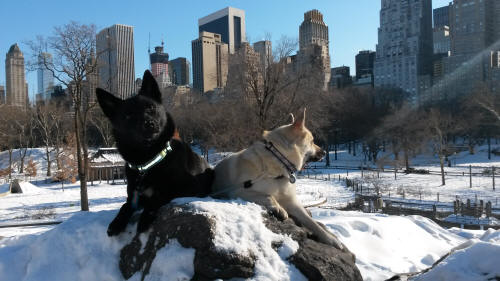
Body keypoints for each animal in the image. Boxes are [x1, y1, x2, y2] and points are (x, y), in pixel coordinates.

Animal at [96, 69, 214, 235]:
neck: (149, 159)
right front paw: (117, 222)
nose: (149, 123)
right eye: (128, 115)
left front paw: (145, 218)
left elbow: (160, 195)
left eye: (151, 108)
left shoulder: (189, 187)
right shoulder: (134, 196)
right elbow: (125, 206)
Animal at [210, 108, 344, 248]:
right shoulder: (239, 191)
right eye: (312, 141)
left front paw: (330, 238)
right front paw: (279, 208)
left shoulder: (293, 203)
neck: (278, 162)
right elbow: (269, 196)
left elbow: (312, 223)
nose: (324, 152)